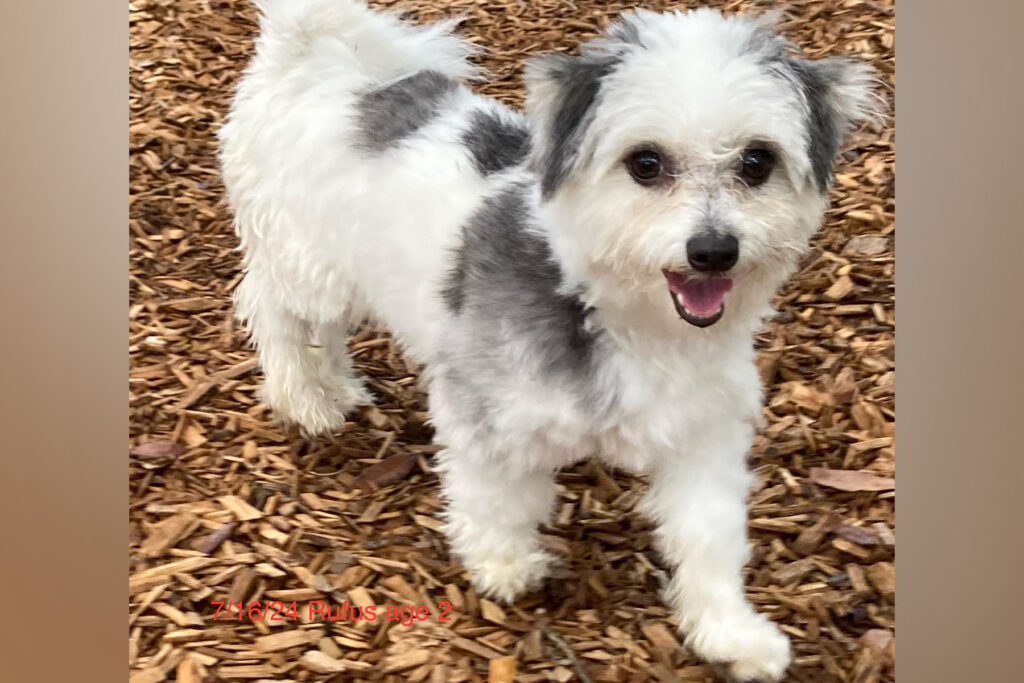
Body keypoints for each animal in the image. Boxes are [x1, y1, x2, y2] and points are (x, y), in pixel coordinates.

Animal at [222, 1, 880, 679]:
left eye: (757, 162)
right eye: (646, 163)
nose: (714, 250)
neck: (623, 316)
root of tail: (318, 57)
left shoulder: (702, 433)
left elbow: (709, 535)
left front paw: (730, 633)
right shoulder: (484, 407)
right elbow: (496, 494)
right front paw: (503, 563)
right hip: (310, 266)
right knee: (274, 309)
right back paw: (306, 396)